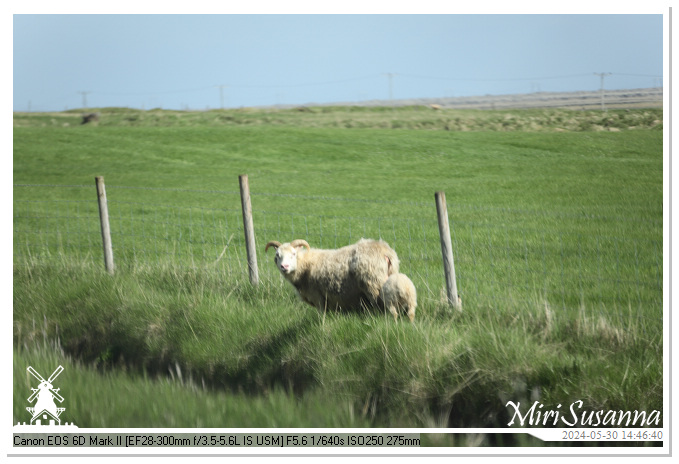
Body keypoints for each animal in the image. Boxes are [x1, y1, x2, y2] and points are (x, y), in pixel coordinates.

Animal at [264, 237, 398, 314]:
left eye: (293, 254)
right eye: (277, 255)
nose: (284, 266)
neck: (304, 265)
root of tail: (385, 250)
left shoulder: (318, 297)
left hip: (373, 283)